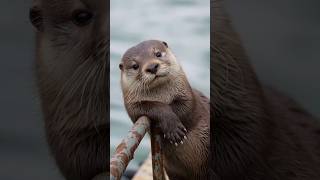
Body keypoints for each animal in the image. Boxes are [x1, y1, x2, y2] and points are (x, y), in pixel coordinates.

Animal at [119, 40, 210, 179]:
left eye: (158, 53)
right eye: (135, 66)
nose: (152, 67)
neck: (162, 97)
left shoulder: (188, 97)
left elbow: (186, 108)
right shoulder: (133, 107)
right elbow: (154, 107)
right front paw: (172, 127)